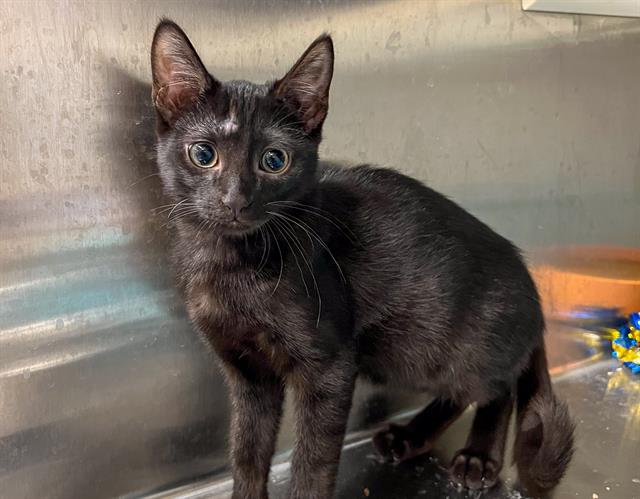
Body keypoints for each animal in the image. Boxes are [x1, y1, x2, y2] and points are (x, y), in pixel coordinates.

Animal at [150, 17, 576, 498]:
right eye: (203, 154)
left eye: (274, 160)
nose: (235, 200)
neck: (231, 263)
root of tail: (527, 277)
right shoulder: (248, 375)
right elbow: (247, 452)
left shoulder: (331, 366)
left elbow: (313, 462)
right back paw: (410, 435)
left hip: (441, 347)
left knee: (498, 386)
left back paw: (478, 456)